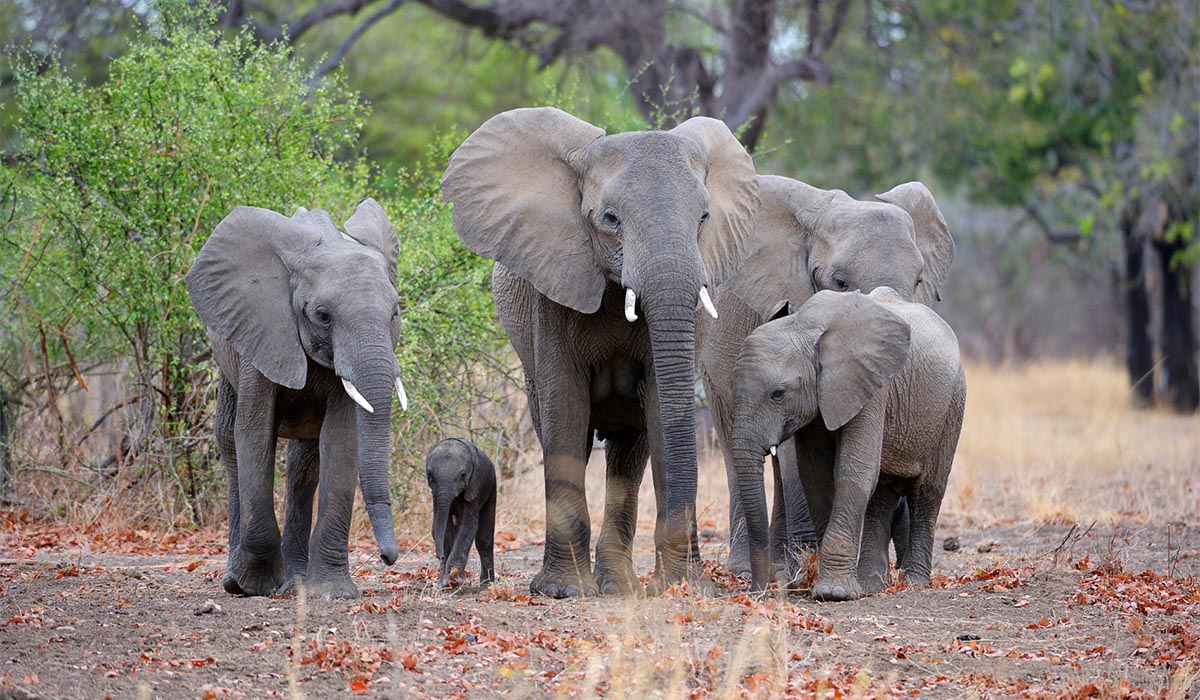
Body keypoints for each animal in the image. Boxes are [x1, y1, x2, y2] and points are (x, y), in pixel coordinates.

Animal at [185, 199, 409, 599]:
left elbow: (340, 442)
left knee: (304, 465)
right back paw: (236, 579)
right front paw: (253, 584)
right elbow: (254, 435)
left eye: (394, 313)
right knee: (229, 443)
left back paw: (296, 584)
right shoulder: (261, 330)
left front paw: (333, 593)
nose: (389, 558)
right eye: (323, 315)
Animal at [425, 438, 497, 587]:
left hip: (492, 485)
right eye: (430, 475)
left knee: (484, 540)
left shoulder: (475, 485)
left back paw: (487, 585)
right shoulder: (435, 495)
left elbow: (468, 525)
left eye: (462, 475)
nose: (439, 555)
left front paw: (454, 579)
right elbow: (445, 527)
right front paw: (444, 583)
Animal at [441, 107, 758, 597]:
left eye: (705, 217)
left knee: (630, 449)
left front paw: (680, 588)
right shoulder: (553, 286)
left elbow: (662, 412)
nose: (688, 582)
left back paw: (618, 586)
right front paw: (562, 591)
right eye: (610, 218)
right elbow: (566, 408)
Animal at [731, 288, 966, 600]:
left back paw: (914, 583)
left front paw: (833, 593)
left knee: (927, 491)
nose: (759, 592)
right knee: (883, 490)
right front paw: (832, 587)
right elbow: (815, 476)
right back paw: (872, 585)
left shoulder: (871, 386)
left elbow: (854, 470)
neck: (804, 327)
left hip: (951, 406)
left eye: (778, 394)